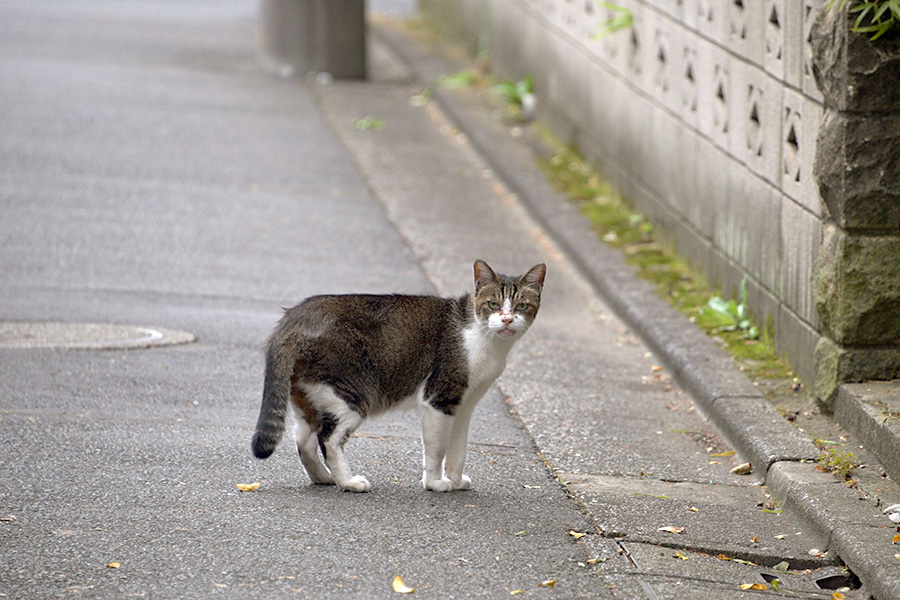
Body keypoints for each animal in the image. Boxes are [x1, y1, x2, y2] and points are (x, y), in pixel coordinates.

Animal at [253, 262, 548, 492]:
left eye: (522, 305)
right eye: (493, 304)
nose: (507, 319)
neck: (488, 342)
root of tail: (293, 318)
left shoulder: (465, 405)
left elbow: (458, 448)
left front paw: (455, 480)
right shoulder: (439, 398)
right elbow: (437, 448)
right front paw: (435, 483)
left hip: (310, 396)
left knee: (303, 440)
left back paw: (324, 478)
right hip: (351, 394)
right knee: (329, 439)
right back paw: (349, 482)